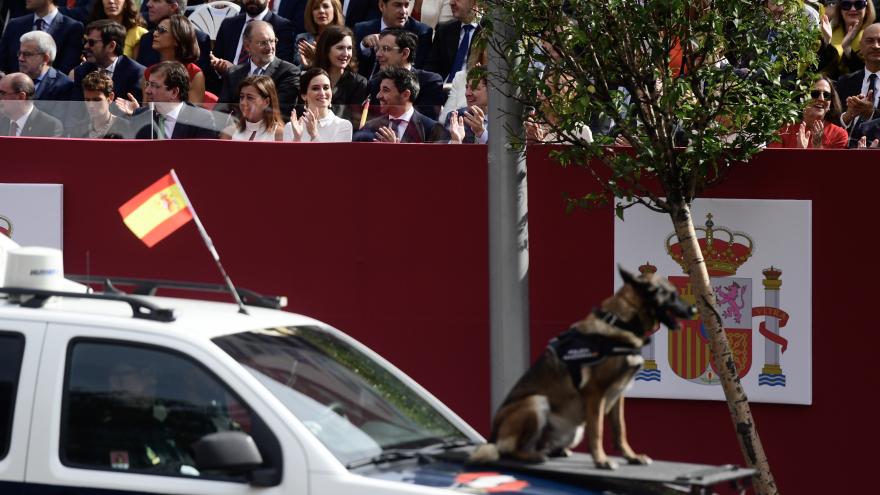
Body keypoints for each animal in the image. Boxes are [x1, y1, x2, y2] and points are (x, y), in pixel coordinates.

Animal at [468, 266, 696, 470]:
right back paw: (533, 456)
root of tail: (493, 436)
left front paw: (631, 456)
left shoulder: (619, 395)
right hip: (536, 402)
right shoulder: (595, 393)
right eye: (672, 295)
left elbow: (620, 429)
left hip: (574, 430)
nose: (694, 310)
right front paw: (601, 461)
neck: (621, 322)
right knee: (510, 450)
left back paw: (555, 451)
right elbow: (598, 430)